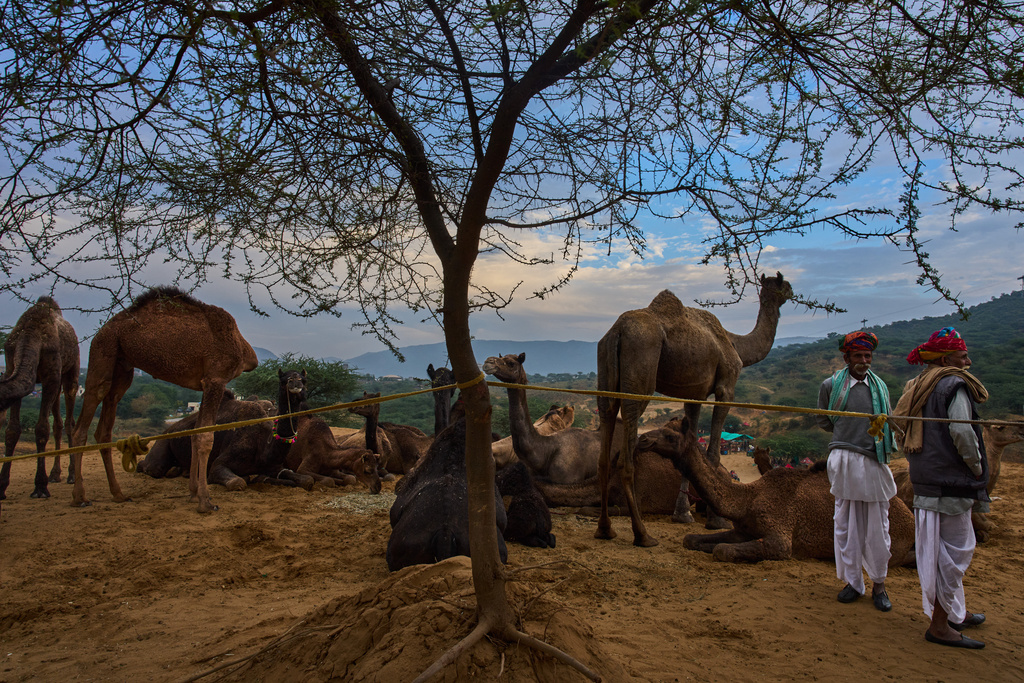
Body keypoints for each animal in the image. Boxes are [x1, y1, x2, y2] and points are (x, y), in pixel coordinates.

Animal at [0, 296, 80, 502]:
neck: (31, 335)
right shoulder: (12, 366)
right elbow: (12, 430)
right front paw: (2, 487)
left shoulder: (50, 377)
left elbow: (42, 428)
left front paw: (40, 487)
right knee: (58, 424)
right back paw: (55, 474)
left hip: (70, 372)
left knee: (69, 422)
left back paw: (71, 475)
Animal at [70, 286, 258, 512]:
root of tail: (103, 330)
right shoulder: (216, 378)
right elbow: (205, 437)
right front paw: (205, 501)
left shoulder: (205, 383)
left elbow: (195, 433)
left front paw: (193, 493)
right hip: (102, 351)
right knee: (83, 423)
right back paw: (80, 496)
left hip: (122, 366)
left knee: (105, 425)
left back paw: (118, 494)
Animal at [596, 272, 793, 546]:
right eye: (782, 285)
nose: (792, 292)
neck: (735, 344)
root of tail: (617, 331)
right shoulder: (726, 387)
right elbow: (712, 453)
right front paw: (716, 519)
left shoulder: (694, 394)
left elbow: (689, 443)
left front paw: (682, 514)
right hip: (640, 369)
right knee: (627, 450)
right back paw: (643, 534)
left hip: (604, 366)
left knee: (605, 439)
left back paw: (605, 529)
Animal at [649, 417, 915, 564]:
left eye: (669, 435)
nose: (644, 440)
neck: (748, 498)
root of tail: (910, 518)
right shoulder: (742, 530)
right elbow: (691, 539)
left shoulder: (780, 537)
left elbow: (722, 550)